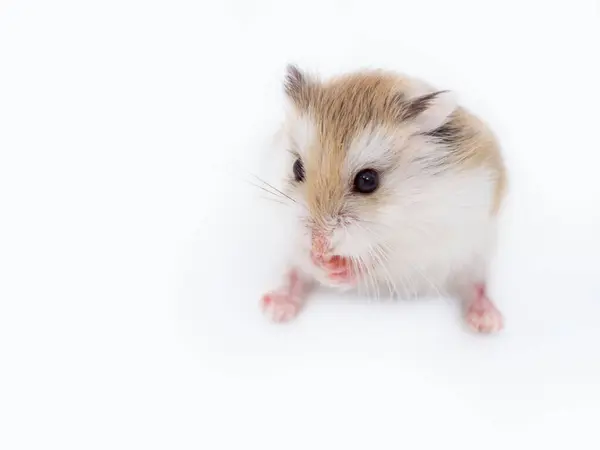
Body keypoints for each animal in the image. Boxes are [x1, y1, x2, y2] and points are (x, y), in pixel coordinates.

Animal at [262, 66, 506, 334]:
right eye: (297, 168)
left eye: (368, 180)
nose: (319, 245)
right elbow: (301, 253)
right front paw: (318, 263)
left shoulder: (422, 242)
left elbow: (379, 261)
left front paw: (340, 269)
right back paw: (276, 309)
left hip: (477, 256)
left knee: (476, 285)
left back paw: (487, 323)